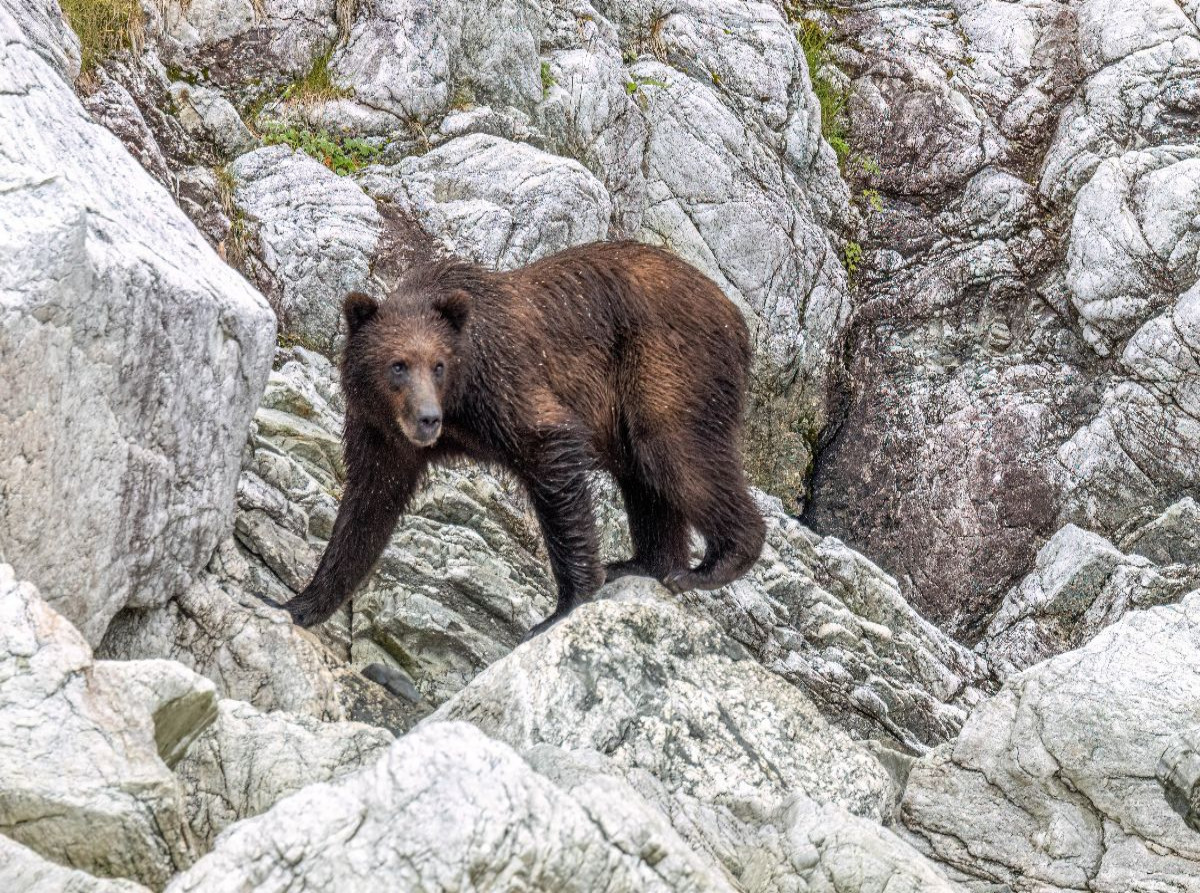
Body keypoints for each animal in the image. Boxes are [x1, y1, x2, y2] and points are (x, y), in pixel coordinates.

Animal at [282, 240, 766, 636]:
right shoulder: (381, 431)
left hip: (669, 364)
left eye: (438, 365)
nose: (427, 420)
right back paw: (642, 563)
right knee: (643, 476)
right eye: (397, 365)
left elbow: (551, 451)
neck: (460, 404)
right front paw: (301, 603)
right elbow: (368, 505)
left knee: (675, 452)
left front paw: (565, 604)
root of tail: (735, 315)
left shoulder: (503, 384)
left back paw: (709, 566)